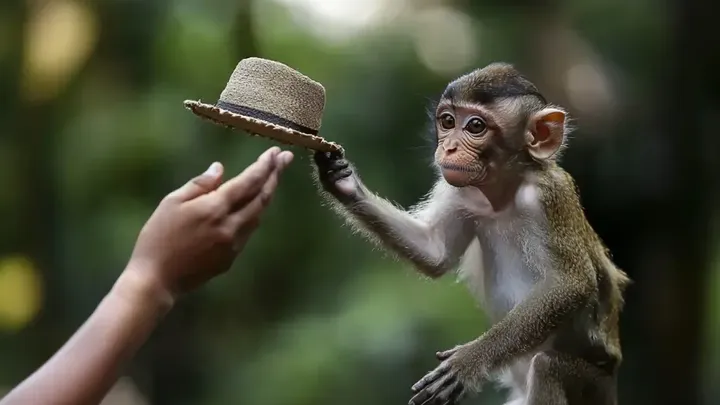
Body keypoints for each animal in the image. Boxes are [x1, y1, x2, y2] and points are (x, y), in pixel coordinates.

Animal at [312, 62, 630, 405]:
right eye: (448, 121)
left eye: (475, 126)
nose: (448, 147)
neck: (503, 194)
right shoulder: (460, 192)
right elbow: (435, 253)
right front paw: (342, 181)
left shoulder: (550, 195)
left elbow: (572, 283)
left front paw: (469, 361)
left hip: (592, 386)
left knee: (548, 366)